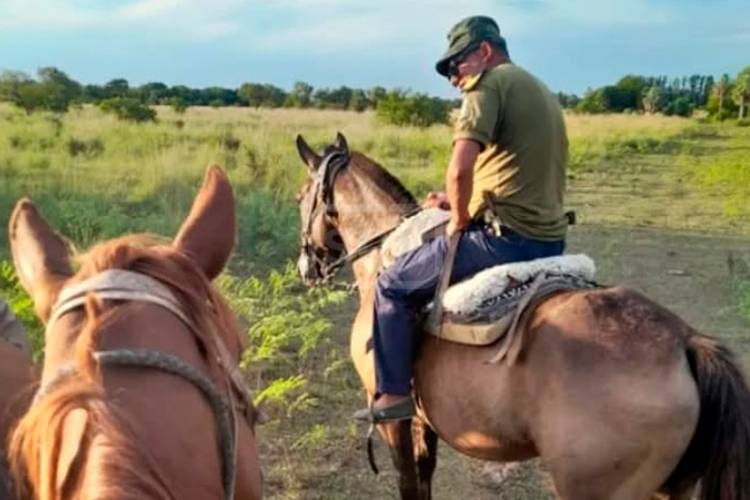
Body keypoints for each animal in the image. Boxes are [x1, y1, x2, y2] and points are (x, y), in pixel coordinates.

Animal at [294, 133, 750, 500]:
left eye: (300, 198)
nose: (306, 268)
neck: (384, 255)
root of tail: (684, 342)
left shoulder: (393, 417)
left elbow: (408, 481)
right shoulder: (424, 420)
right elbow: (424, 476)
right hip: (671, 487)